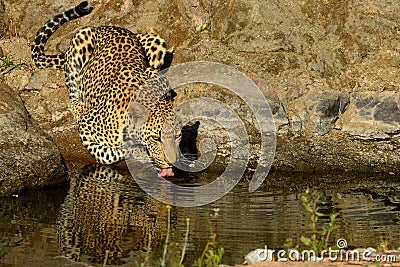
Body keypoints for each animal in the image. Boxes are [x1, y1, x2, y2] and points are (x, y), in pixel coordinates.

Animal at [31, 0, 181, 178]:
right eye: (156, 138)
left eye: (178, 136)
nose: (172, 162)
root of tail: (107, 27)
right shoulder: (86, 129)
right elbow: (110, 155)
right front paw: (137, 151)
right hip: (81, 37)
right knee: (73, 93)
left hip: (155, 40)